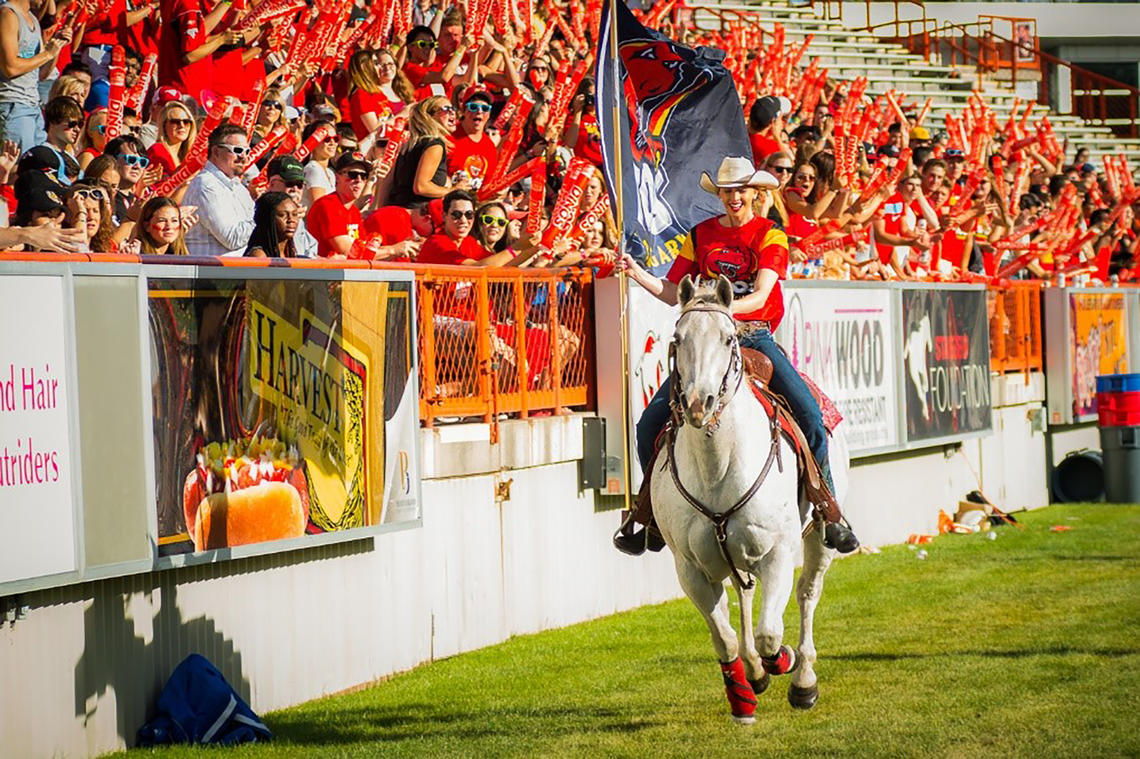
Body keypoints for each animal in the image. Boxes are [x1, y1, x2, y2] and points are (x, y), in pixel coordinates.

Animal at [652, 276, 848, 720]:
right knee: (743, 594)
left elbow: (770, 633)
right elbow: (724, 636)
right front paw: (742, 695)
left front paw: (784, 663)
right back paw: (756, 673)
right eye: (677, 338)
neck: (718, 464)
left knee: (807, 593)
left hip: (820, 537)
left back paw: (803, 678)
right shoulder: (690, 568)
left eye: (727, 339)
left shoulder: (777, 553)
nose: (698, 403)